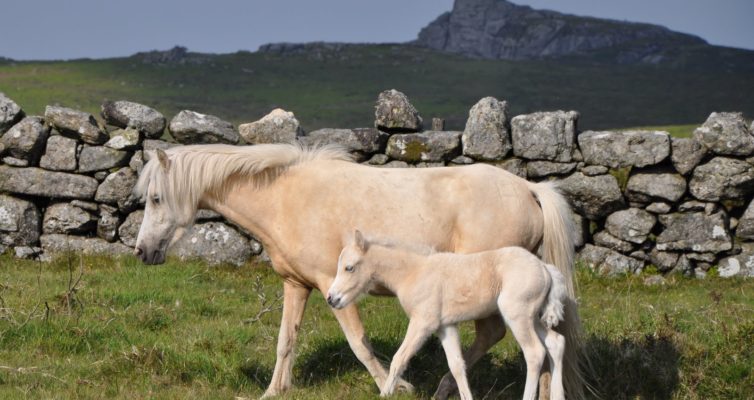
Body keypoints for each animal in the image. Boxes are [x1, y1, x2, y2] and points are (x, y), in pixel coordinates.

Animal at [326, 230, 568, 400]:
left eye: (349, 267)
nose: (331, 299)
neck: (415, 272)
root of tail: (545, 268)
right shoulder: (445, 326)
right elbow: (457, 365)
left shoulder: (423, 322)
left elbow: (399, 358)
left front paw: (385, 394)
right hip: (534, 317)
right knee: (556, 342)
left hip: (518, 316)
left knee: (535, 353)